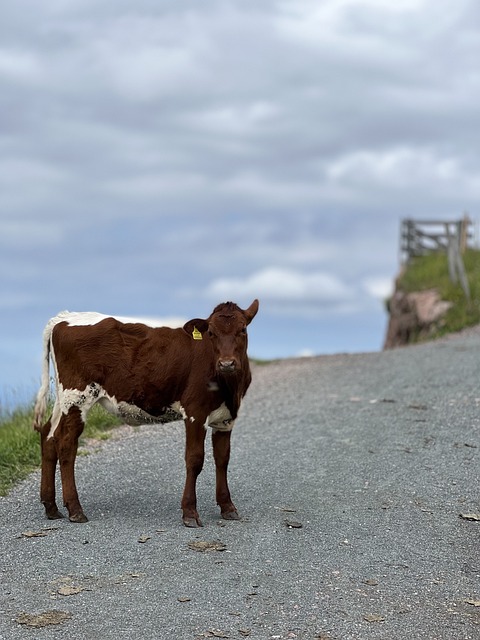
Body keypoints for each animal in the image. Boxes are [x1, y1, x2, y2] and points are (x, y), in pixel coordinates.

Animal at [32, 298, 258, 524]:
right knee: (66, 442)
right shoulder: (195, 412)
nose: (227, 363)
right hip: (77, 396)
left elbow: (223, 459)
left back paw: (51, 507)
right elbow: (195, 459)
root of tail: (64, 317)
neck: (229, 388)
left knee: (49, 435)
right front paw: (190, 512)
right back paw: (75, 509)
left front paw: (227, 507)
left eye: (243, 329)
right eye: (210, 332)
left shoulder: (226, 418)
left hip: (63, 399)